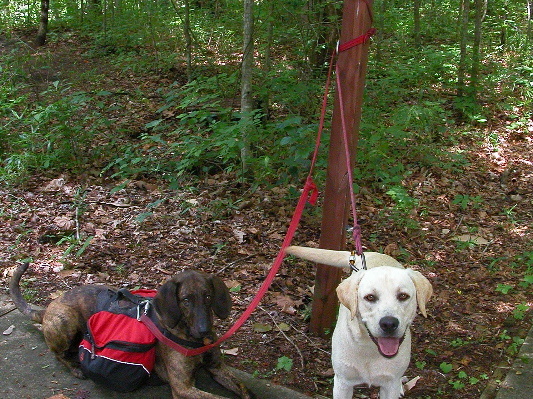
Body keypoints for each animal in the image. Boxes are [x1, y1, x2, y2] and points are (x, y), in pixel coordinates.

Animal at [9, 262, 251, 399]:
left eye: (208, 297)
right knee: (57, 353)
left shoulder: (218, 368)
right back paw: (75, 367)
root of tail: (51, 304)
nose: (204, 329)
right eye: (185, 300)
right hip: (66, 321)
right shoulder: (183, 387)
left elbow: (244, 390)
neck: (192, 337)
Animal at [284, 247, 430, 399]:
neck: (370, 348)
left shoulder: (390, 386)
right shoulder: (342, 383)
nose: (389, 324)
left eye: (403, 296)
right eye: (370, 297)